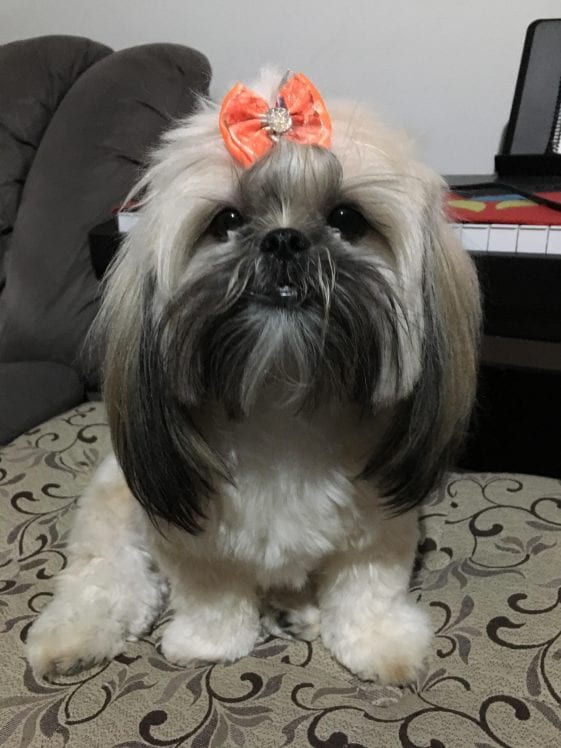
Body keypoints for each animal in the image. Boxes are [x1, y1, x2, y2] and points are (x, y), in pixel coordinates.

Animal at [26, 70, 480, 684]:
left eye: (346, 219)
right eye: (227, 222)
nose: (284, 239)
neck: (281, 399)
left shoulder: (379, 525)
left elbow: (367, 590)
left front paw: (381, 643)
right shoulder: (191, 537)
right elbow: (212, 595)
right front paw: (209, 644)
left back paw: (293, 612)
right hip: (113, 503)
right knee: (105, 575)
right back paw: (71, 635)